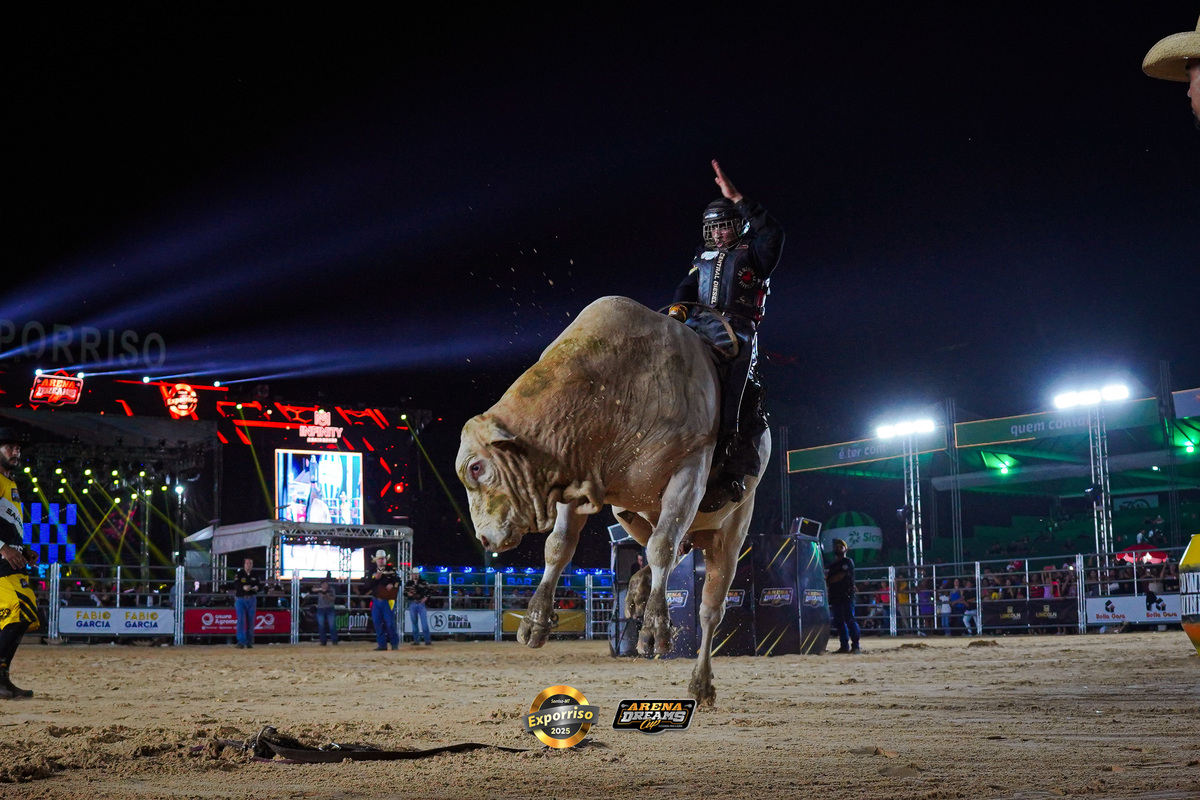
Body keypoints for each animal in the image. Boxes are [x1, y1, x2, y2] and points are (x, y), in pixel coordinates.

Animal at [456, 295, 769, 705]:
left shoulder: (690, 470)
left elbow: (663, 547)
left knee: (708, 607)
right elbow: (559, 546)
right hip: (628, 513)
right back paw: (637, 590)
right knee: (670, 548)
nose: (483, 538)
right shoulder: (574, 471)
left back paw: (701, 683)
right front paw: (535, 621)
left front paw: (654, 629)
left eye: (477, 468)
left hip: (731, 532)